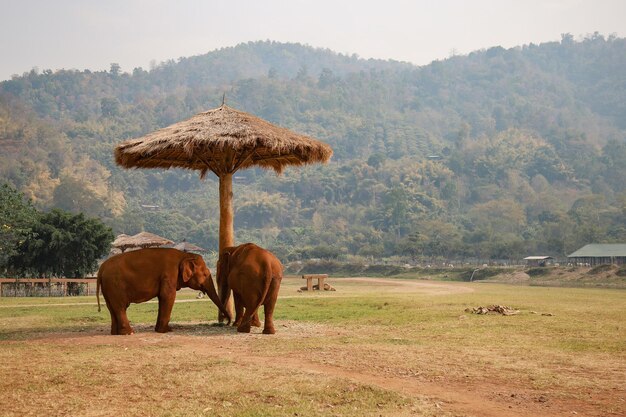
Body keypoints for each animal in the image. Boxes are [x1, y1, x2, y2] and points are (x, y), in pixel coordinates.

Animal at [97, 247, 232, 334]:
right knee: (120, 307)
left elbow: (163, 298)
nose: (226, 322)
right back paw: (129, 332)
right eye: (205, 274)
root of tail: (101, 269)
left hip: (108, 287)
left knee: (111, 307)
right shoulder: (169, 273)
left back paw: (116, 333)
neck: (184, 255)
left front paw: (160, 330)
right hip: (115, 284)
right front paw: (167, 331)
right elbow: (168, 296)